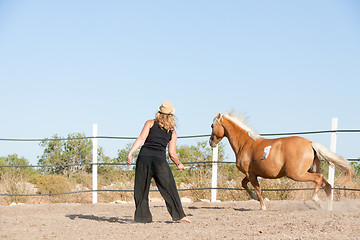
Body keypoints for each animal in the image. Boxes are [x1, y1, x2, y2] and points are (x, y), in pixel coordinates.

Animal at [210, 112, 352, 210]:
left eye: (212, 125)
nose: (211, 142)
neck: (245, 143)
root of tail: (310, 143)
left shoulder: (251, 174)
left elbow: (256, 189)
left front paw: (262, 206)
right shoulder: (252, 174)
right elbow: (244, 184)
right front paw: (256, 199)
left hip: (296, 174)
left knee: (319, 178)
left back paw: (316, 200)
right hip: (309, 170)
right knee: (327, 185)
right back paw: (328, 208)